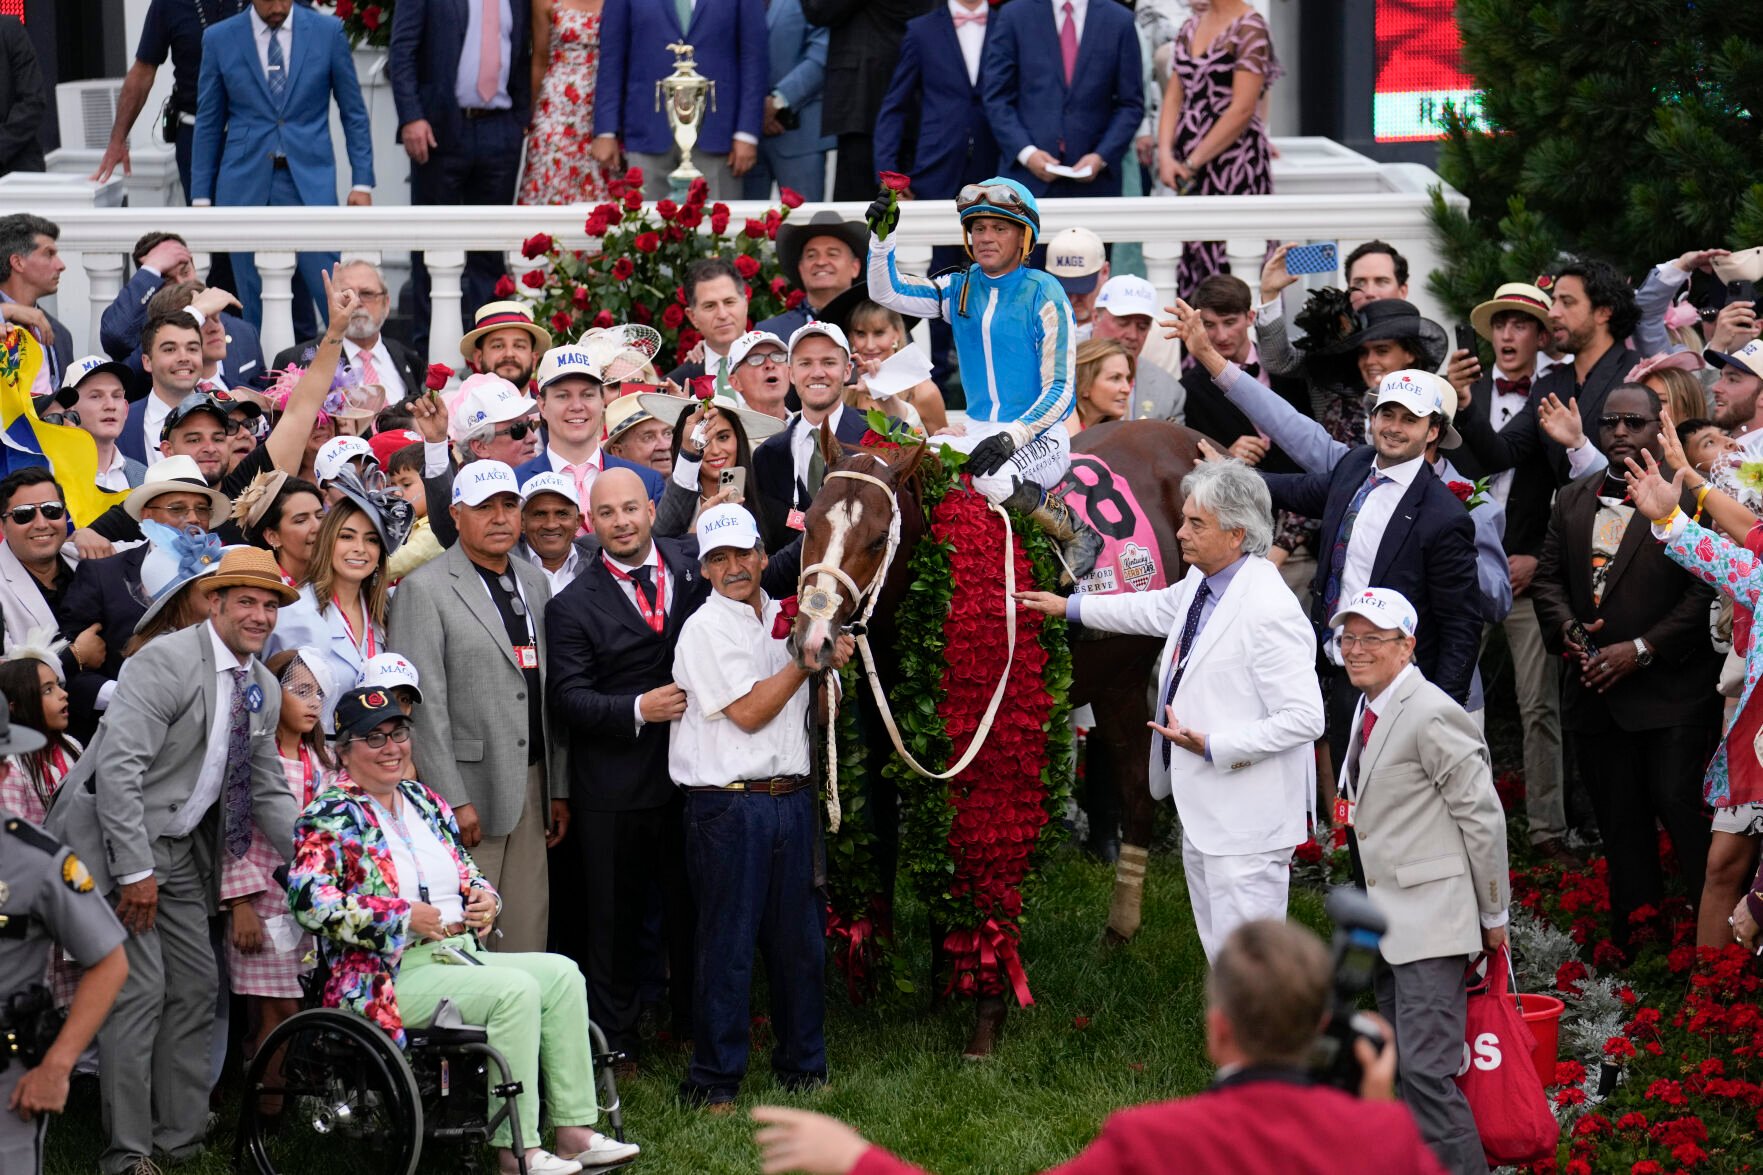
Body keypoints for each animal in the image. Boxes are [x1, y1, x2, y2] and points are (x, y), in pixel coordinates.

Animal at [796, 421, 1198, 966]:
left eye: (879, 539)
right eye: (810, 522)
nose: (813, 637)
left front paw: (963, 953)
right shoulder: (883, 729)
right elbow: (881, 835)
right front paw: (875, 954)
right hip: (1124, 678)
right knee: (1139, 789)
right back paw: (1120, 929)